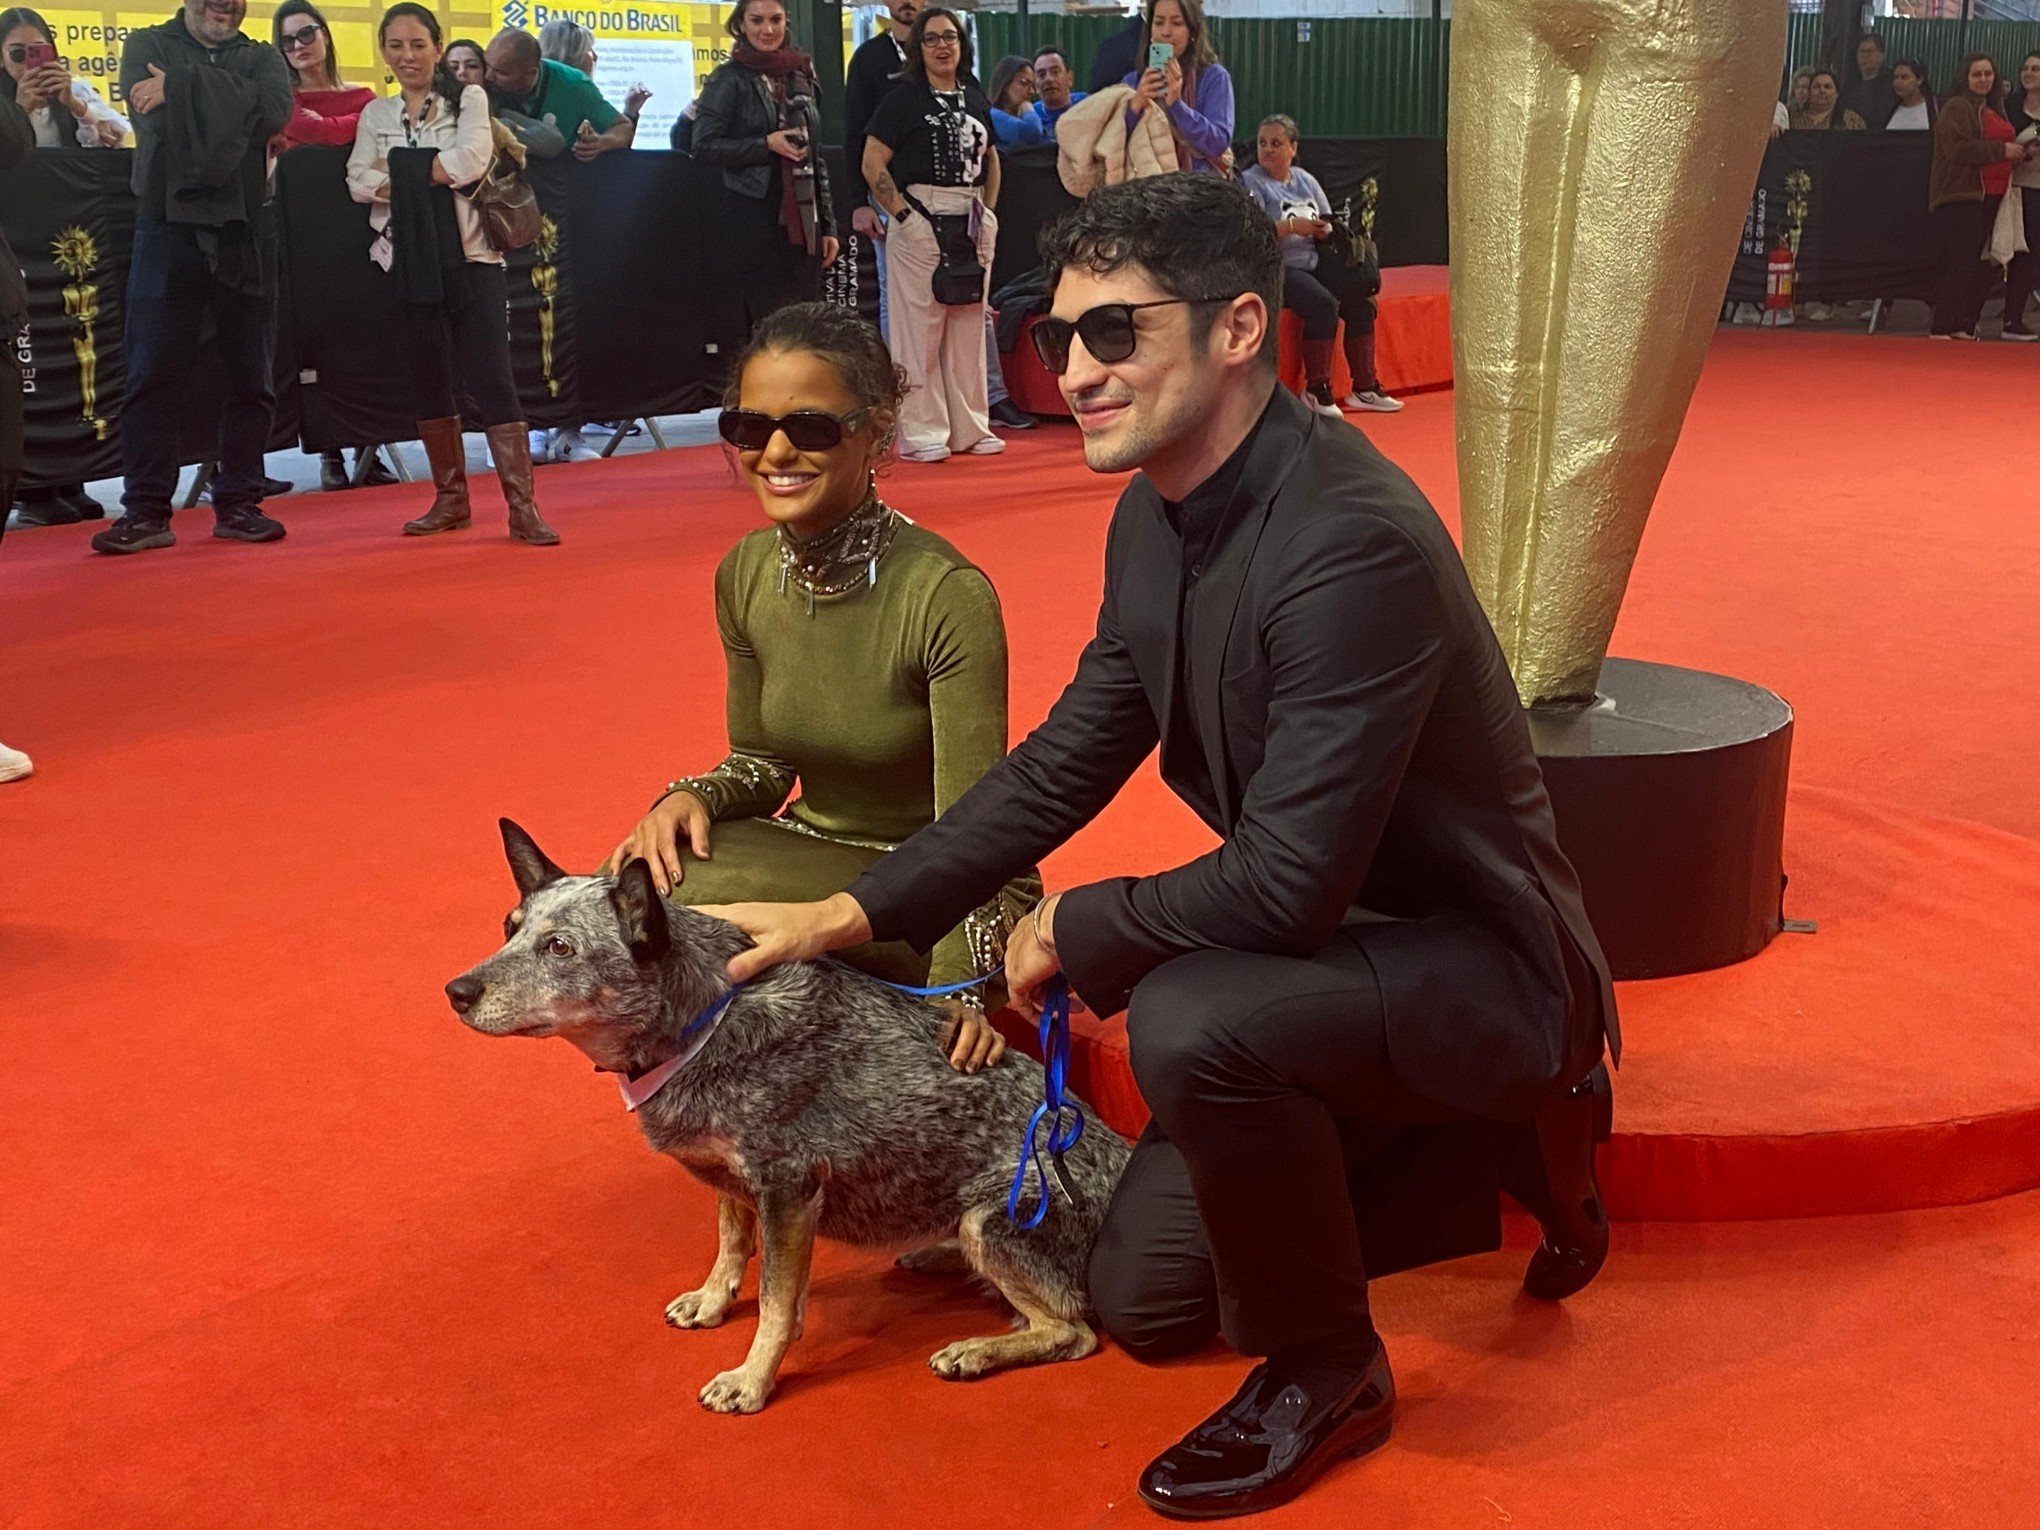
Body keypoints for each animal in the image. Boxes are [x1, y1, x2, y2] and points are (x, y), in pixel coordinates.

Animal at [444, 820, 1134, 1419]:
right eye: (508, 928)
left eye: (560, 947)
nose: (455, 991)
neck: (705, 1022)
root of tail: (1124, 1156)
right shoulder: (734, 1176)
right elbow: (731, 1239)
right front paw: (713, 1299)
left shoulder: (789, 1190)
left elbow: (777, 1304)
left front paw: (751, 1380)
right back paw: (934, 1254)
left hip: (993, 1220)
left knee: (1071, 1329)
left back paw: (974, 1350)